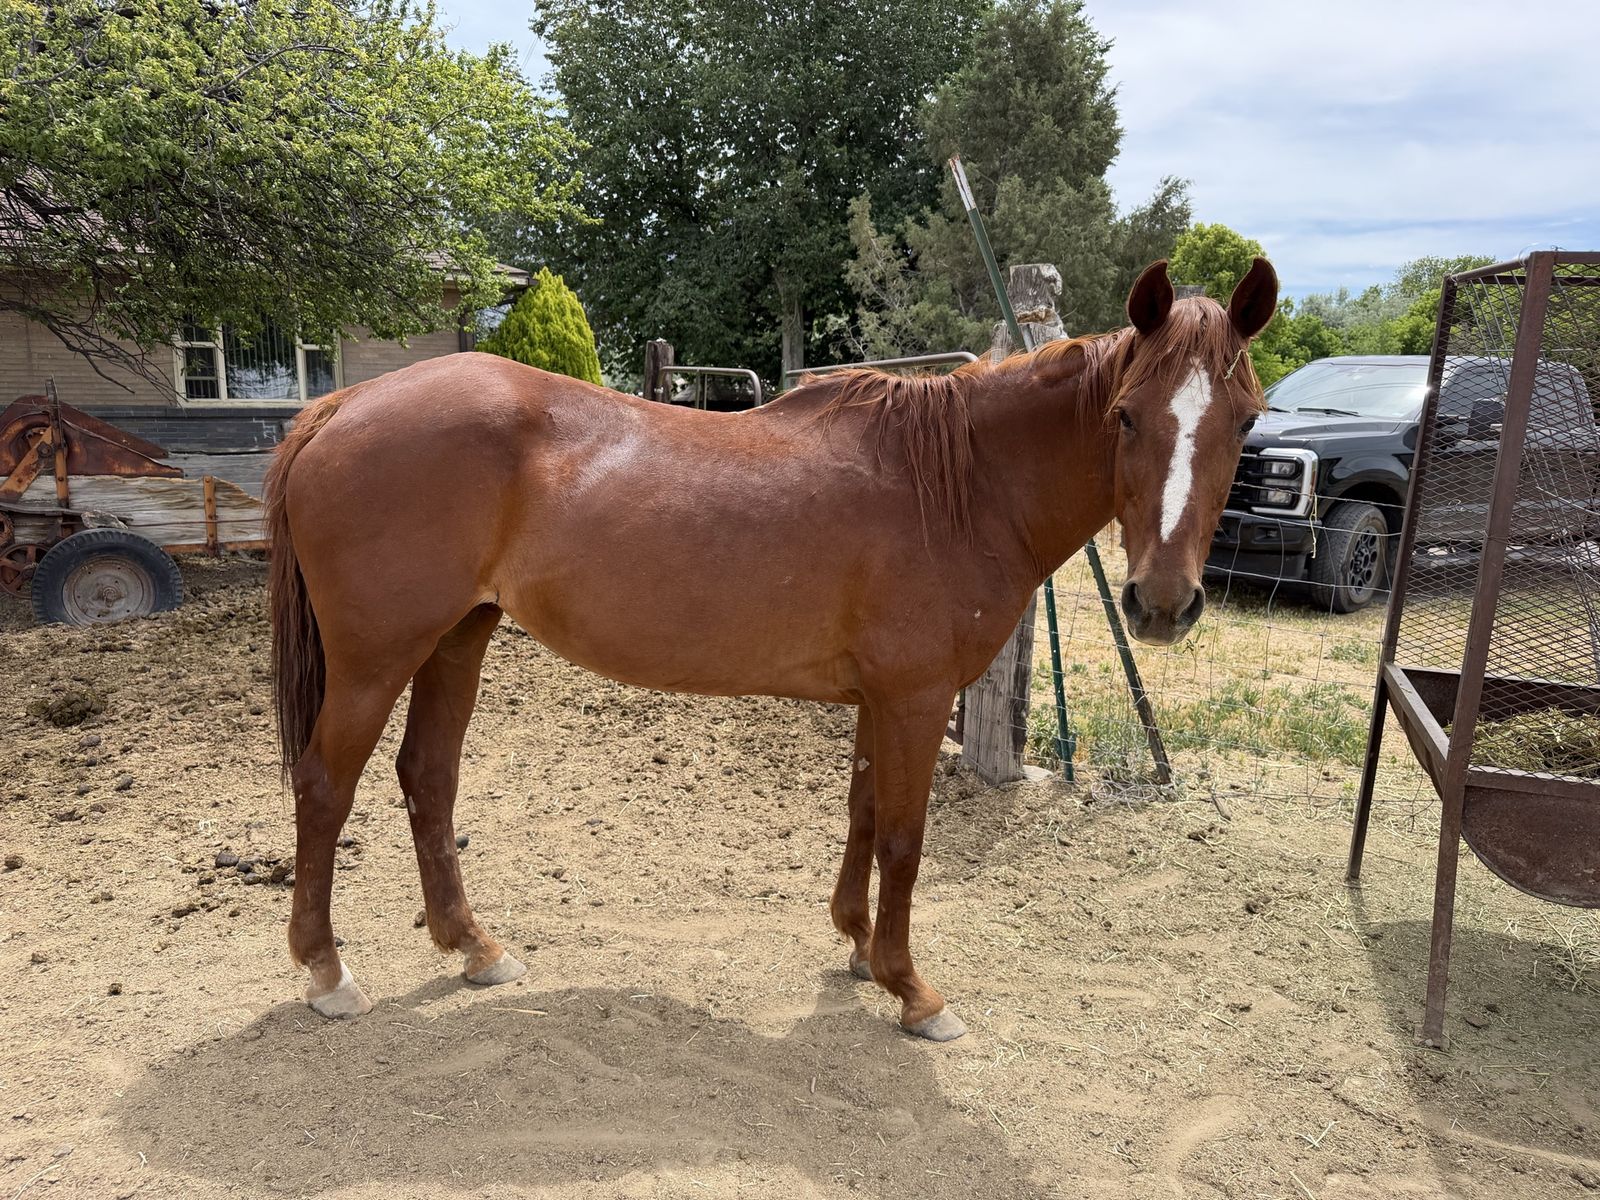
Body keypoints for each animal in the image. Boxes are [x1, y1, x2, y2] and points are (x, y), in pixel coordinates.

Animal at [265, 257, 1277, 1040]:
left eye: (1246, 421)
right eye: (1127, 414)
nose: (1162, 603)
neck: (956, 486)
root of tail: (342, 404)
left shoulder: (883, 700)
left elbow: (864, 816)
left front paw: (859, 947)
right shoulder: (916, 698)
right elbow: (905, 838)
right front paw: (913, 991)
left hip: (455, 642)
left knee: (426, 780)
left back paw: (474, 948)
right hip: (376, 659)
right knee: (326, 786)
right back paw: (327, 973)